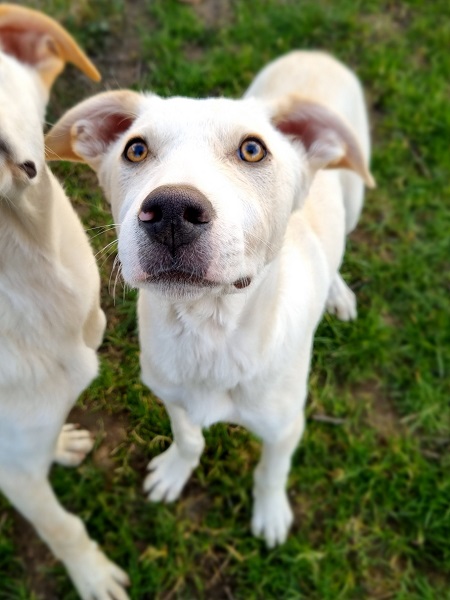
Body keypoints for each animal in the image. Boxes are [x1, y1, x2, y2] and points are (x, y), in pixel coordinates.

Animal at [47, 51, 374, 548]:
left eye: (253, 149)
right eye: (135, 149)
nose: (171, 212)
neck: (208, 332)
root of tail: (314, 55)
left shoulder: (285, 428)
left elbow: (271, 473)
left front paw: (270, 515)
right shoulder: (171, 397)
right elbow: (190, 439)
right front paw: (174, 473)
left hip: (354, 196)